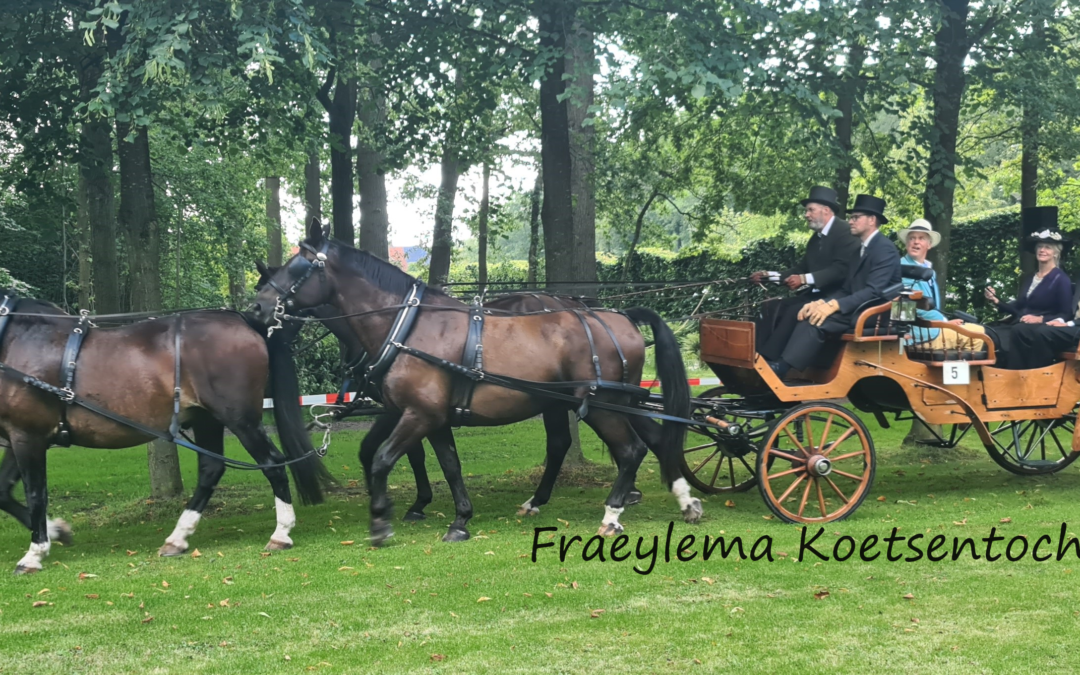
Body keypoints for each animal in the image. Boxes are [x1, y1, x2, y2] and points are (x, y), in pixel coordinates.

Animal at [0, 291, 332, 570]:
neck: (16, 338)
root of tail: (246, 321)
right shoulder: (19, 436)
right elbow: (5, 492)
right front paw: (57, 531)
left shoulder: (29, 435)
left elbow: (35, 493)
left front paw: (34, 553)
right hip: (206, 420)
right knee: (211, 469)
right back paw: (177, 538)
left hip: (240, 420)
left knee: (272, 464)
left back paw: (281, 533)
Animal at [248, 218, 695, 544]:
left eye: (299, 267)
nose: (256, 309)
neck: (407, 327)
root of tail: (619, 316)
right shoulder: (431, 418)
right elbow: (449, 465)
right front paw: (459, 519)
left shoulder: (417, 414)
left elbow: (383, 459)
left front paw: (381, 521)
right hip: (609, 402)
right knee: (640, 441)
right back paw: (680, 499)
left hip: (604, 406)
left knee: (631, 450)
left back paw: (614, 512)